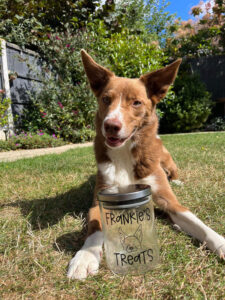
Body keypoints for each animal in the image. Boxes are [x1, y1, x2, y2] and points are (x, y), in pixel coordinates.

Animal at [67, 51, 225, 278]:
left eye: (136, 103)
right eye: (106, 99)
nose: (111, 125)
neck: (125, 152)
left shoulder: (169, 201)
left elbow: (198, 223)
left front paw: (220, 242)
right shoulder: (99, 201)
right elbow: (95, 227)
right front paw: (85, 257)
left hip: (167, 159)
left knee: (173, 173)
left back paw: (177, 181)